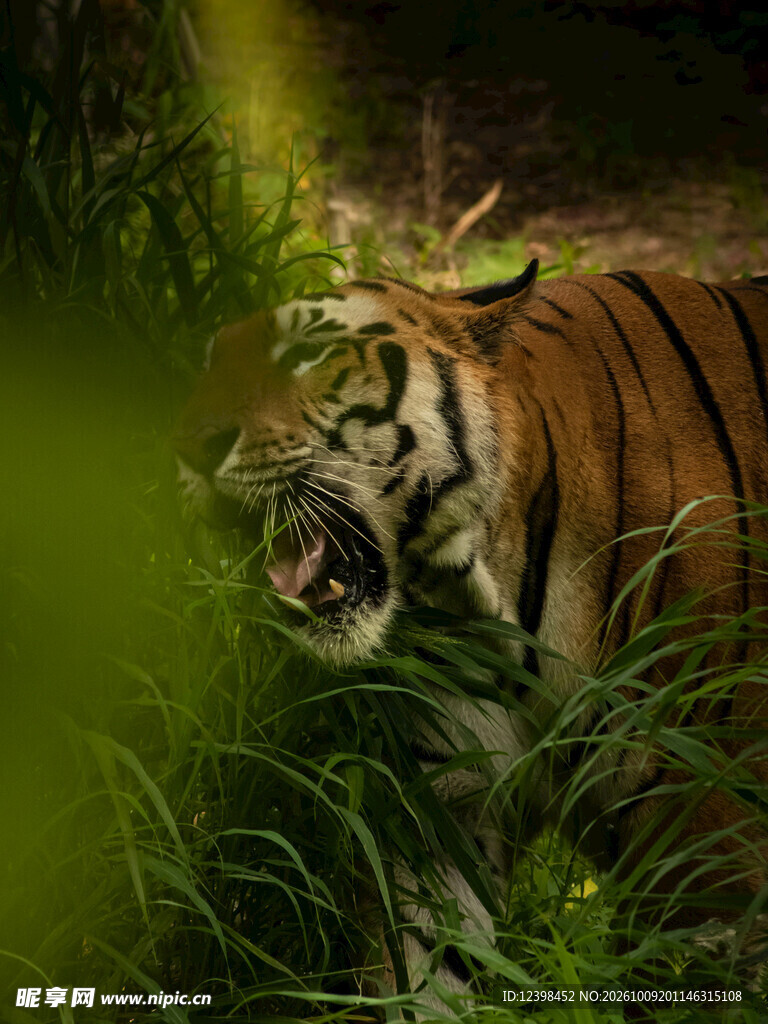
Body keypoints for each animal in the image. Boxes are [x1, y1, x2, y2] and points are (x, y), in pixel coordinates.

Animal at [173, 261, 768, 1008]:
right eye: (208, 365)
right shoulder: (447, 814)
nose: (188, 447)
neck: (483, 591)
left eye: (308, 350)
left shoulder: (706, 837)